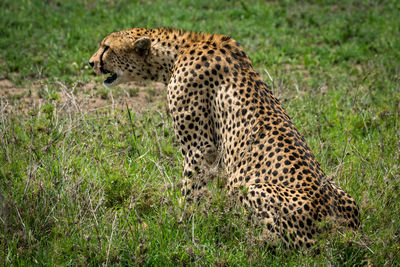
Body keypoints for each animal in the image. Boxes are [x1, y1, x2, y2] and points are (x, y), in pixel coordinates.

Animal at [90, 27, 360, 249]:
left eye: (106, 47)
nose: (90, 62)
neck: (177, 50)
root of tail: (340, 230)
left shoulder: (199, 147)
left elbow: (191, 190)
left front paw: (181, 225)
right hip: (345, 195)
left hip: (252, 187)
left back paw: (241, 234)